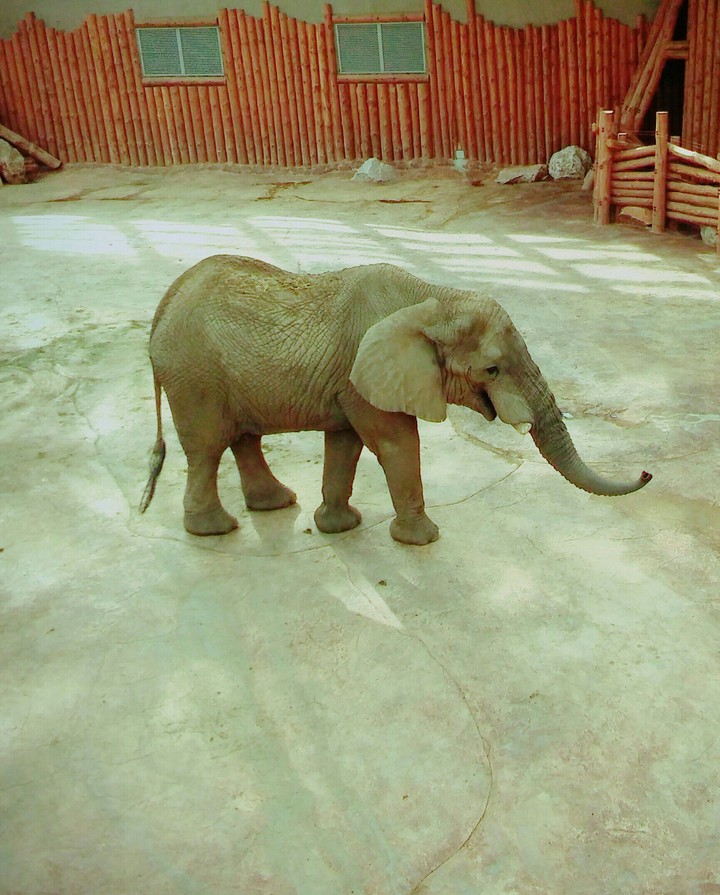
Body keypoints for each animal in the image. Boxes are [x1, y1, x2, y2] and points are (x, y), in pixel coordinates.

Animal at [139, 254, 651, 545]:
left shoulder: (350, 380)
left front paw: (340, 527)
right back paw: (216, 530)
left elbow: (346, 442)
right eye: (492, 370)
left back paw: (275, 504)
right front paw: (423, 541)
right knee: (207, 447)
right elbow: (395, 443)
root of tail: (163, 306)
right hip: (195, 378)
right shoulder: (365, 372)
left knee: (240, 438)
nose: (647, 473)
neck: (433, 298)